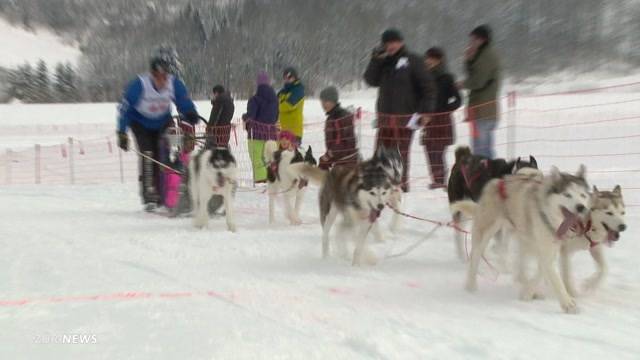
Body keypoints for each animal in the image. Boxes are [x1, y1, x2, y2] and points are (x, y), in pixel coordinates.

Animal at [460, 165, 592, 314]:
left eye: (582, 195)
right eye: (567, 195)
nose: (580, 207)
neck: (548, 215)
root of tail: (497, 181)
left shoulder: (549, 249)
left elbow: (542, 271)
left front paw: (528, 292)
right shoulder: (545, 250)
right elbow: (555, 279)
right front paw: (568, 304)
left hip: (523, 237)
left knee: (521, 266)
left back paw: (525, 282)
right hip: (485, 232)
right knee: (475, 256)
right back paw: (471, 287)